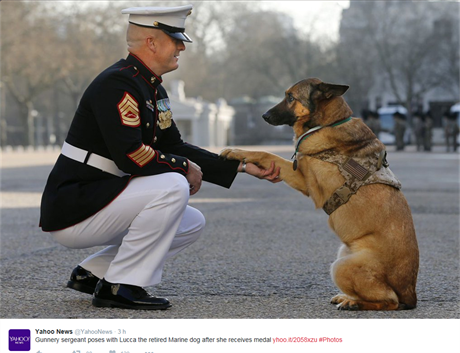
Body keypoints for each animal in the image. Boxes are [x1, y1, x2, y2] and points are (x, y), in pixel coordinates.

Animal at [221, 78, 418, 310]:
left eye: (290, 97)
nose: (264, 116)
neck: (328, 123)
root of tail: (410, 294)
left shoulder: (307, 182)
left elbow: (267, 153)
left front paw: (236, 151)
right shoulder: (301, 175)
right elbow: (269, 156)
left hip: (341, 266)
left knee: (389, 301)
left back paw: (354, 303)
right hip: (343, 253)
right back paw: (346, 297)